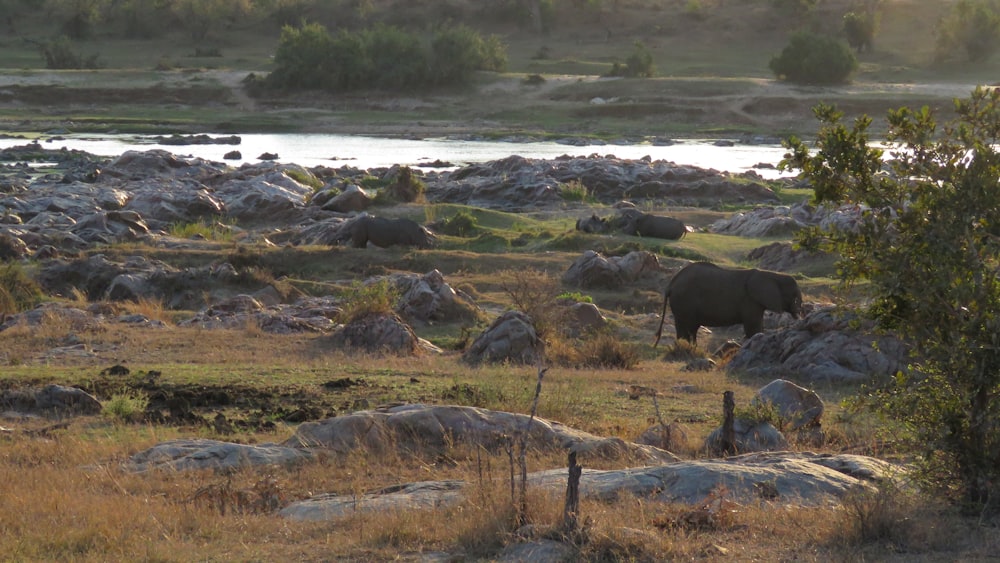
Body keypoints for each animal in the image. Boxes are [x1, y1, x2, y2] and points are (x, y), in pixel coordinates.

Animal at [652, 262, 800, 346]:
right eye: (794, 296)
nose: (798, 315)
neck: (772, 275)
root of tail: (671, 284)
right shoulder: (750, 300)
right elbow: (754, 327)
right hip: (684, 301)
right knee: (687, 328)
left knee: (689, 328)